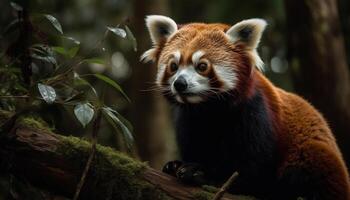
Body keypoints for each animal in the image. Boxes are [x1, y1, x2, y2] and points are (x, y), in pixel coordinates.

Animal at [141, 15, 348, 200]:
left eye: (202, 66)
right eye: (173, 66)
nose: (180, 84)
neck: (209, 108)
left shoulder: (255, 113)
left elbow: (253, 170)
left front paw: (204, 174)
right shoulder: (189, 120)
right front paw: (176, 165)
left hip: (313, 154)